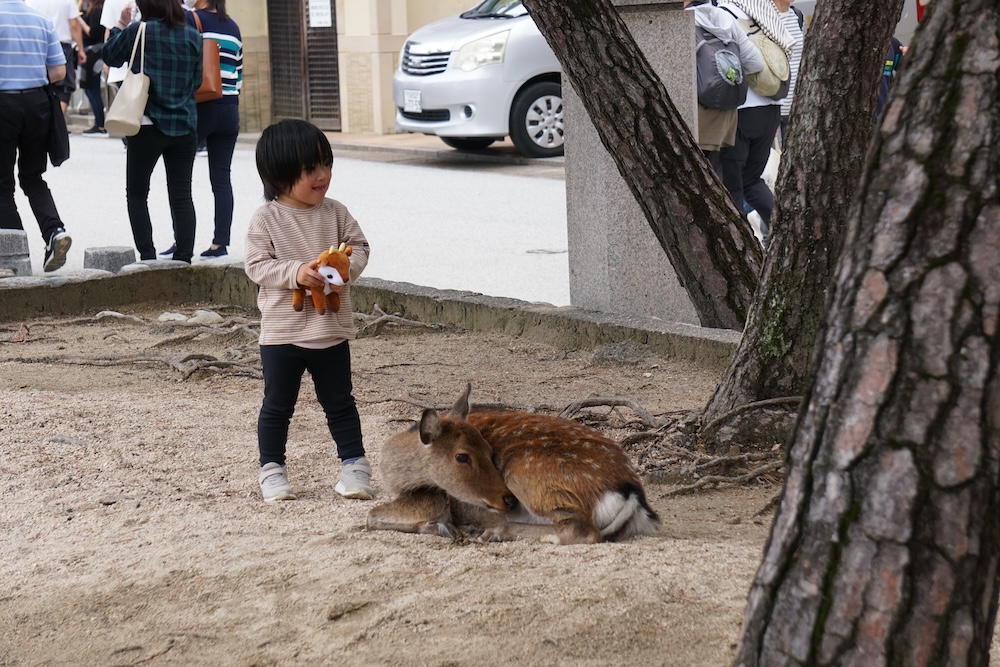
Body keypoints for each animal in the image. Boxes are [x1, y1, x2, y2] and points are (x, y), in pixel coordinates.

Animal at [366, 384, 656, 544]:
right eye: (463, 456)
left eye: (488, 450)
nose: (507, 500)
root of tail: (631, 493)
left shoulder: (434, 496)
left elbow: (371, 515)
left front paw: (445, 528)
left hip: (525, 470)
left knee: (582, 529)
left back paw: (493, 531)